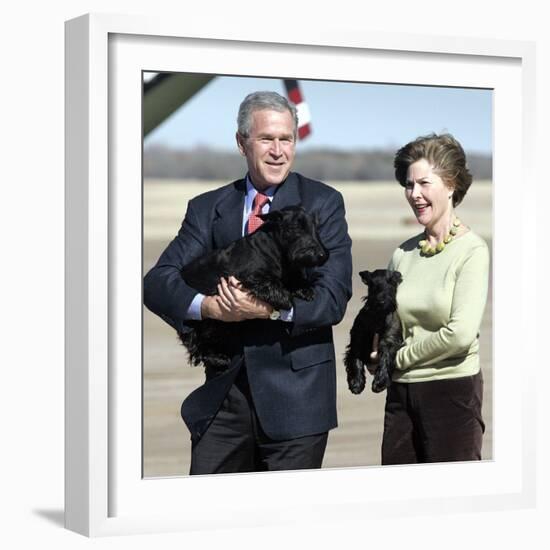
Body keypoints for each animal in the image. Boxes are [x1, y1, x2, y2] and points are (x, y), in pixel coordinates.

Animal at [180, 206, 328, 370]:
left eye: (316, 227)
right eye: (296, 228)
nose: (322, 255)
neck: (275, 248)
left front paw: (304, 288)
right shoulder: (250, 276)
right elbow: (269, 284)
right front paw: (284, 298)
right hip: (207, 324)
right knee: (196, 344)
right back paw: (216, 357)